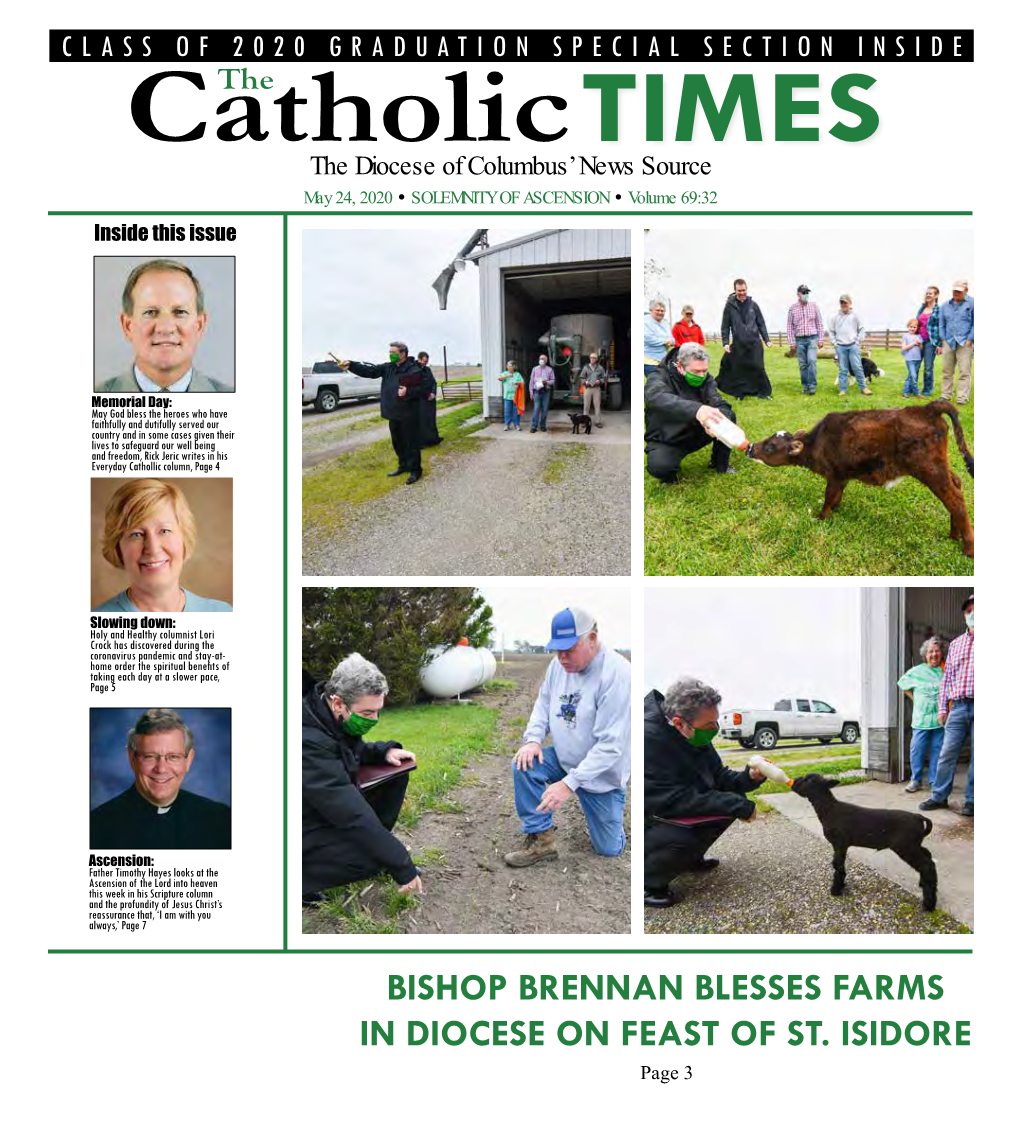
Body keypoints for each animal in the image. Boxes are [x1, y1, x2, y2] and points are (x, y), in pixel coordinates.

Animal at [746, 402, 974, 557]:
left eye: (770, 447)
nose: (750, 448)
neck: (817, 443)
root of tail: (927, 408)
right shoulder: (843, 475)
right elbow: (837, 495)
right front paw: (836, 508)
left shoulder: (835, 474)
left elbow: (828, 496)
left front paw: (822, 517)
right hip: (940, 466)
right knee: (957, 483)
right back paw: (954, 534)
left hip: (930, 470)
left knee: (956, 500)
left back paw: (968, 548)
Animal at [792, 769, 938, 910]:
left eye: (808, 780)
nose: (793, 782)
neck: (829, 809)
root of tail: (918, 817)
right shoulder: (839, 845)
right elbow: (836, 864)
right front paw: (841, 885)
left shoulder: (840, 843)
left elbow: (838, 865)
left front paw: (836, 890)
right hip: (914, 844)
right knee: (929, 857)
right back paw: (924, 885)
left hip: (905, 847)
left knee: (926, 865)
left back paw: (929, 904)